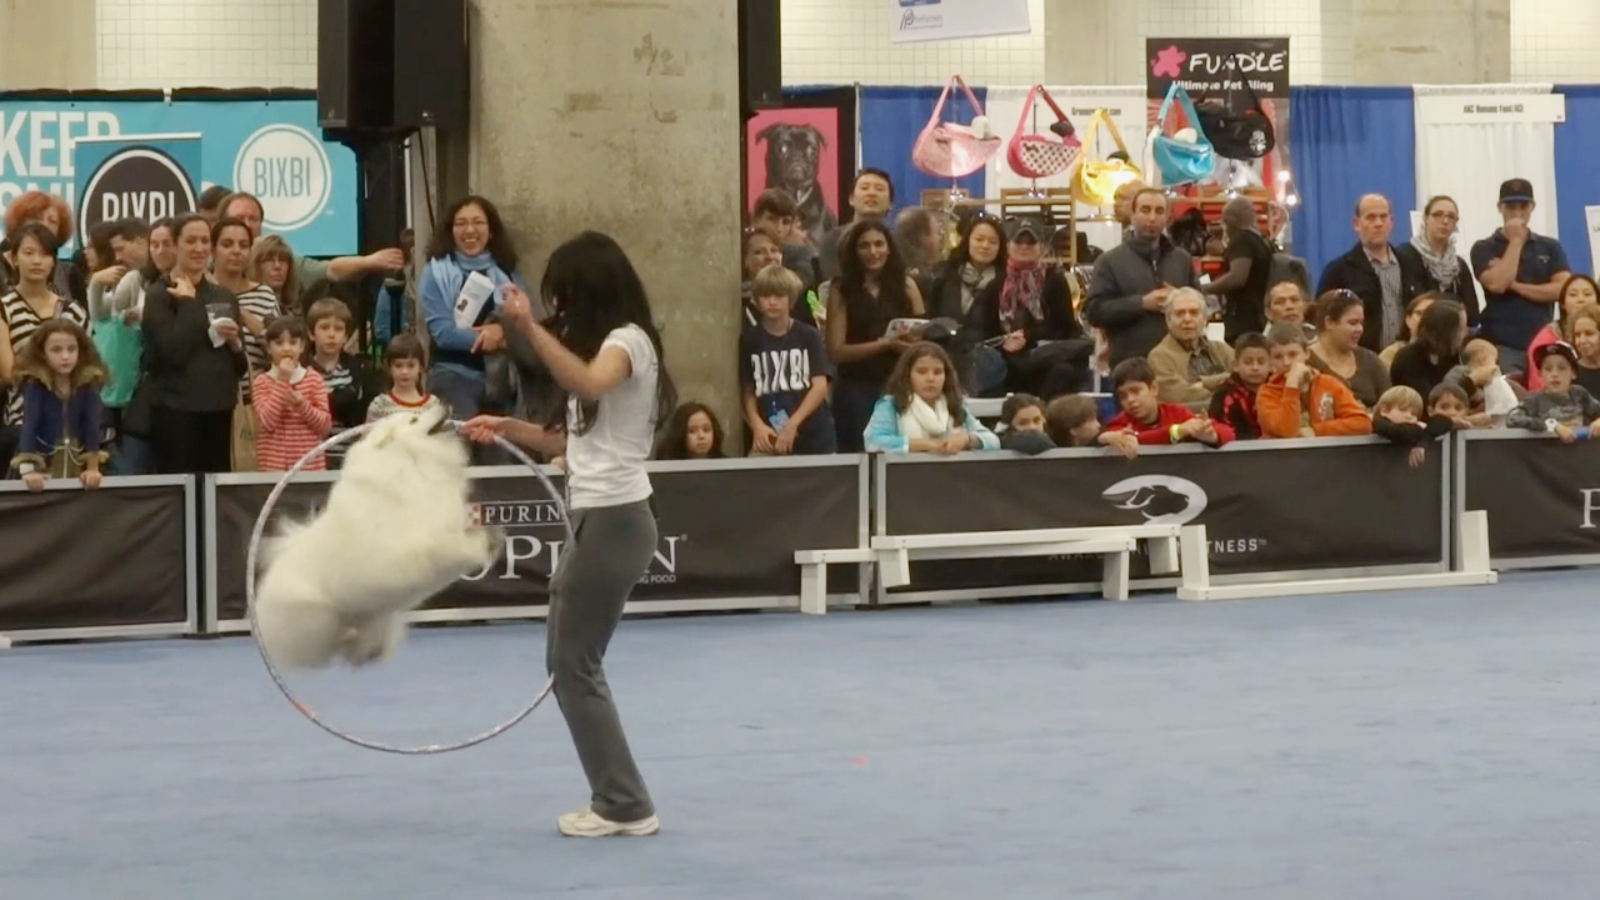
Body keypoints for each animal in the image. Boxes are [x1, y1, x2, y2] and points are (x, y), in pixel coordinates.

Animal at [251, 403, 499, 669]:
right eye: (414, 420)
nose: (444, 404)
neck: (410, 459)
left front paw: (492, 538)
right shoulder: (419, 546)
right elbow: (452, 547)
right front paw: (480, 546)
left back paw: (365, 650)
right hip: (315, 617)